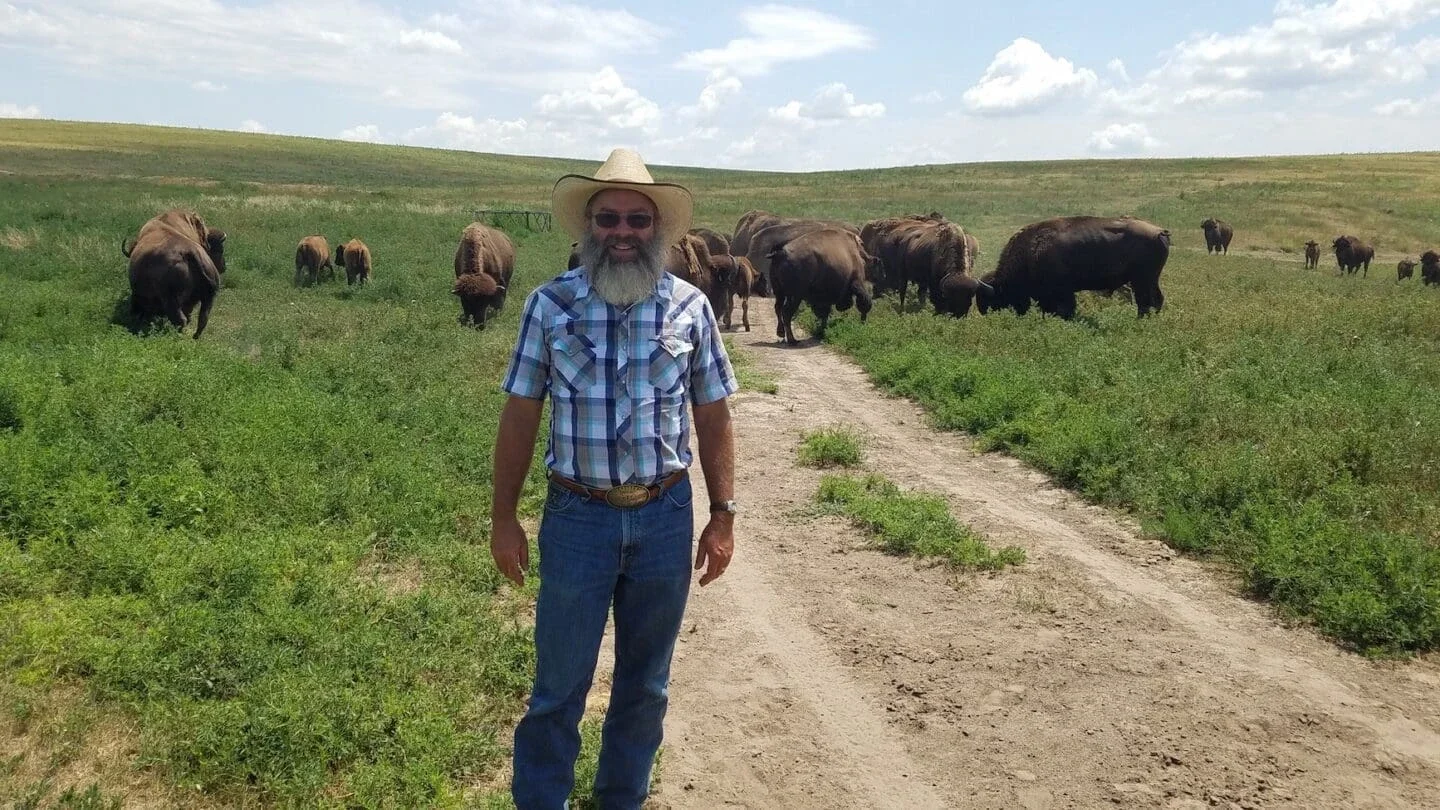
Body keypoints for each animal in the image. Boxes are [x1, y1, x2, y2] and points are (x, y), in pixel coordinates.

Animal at [123, 207, 226, 337]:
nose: (223, 266)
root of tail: (190, 252)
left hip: (172, 300)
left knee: (180, 319)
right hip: (208, 298)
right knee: (202, 320)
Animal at [979, 214, 1169, 318]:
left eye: (993, 299)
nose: (983, 312)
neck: (1033, 249)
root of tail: (1160, 232)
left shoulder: (1062, 291)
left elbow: (1065, 308)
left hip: (1142, 280)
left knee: (1146, 302)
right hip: (1149, 280)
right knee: (1155, 300)